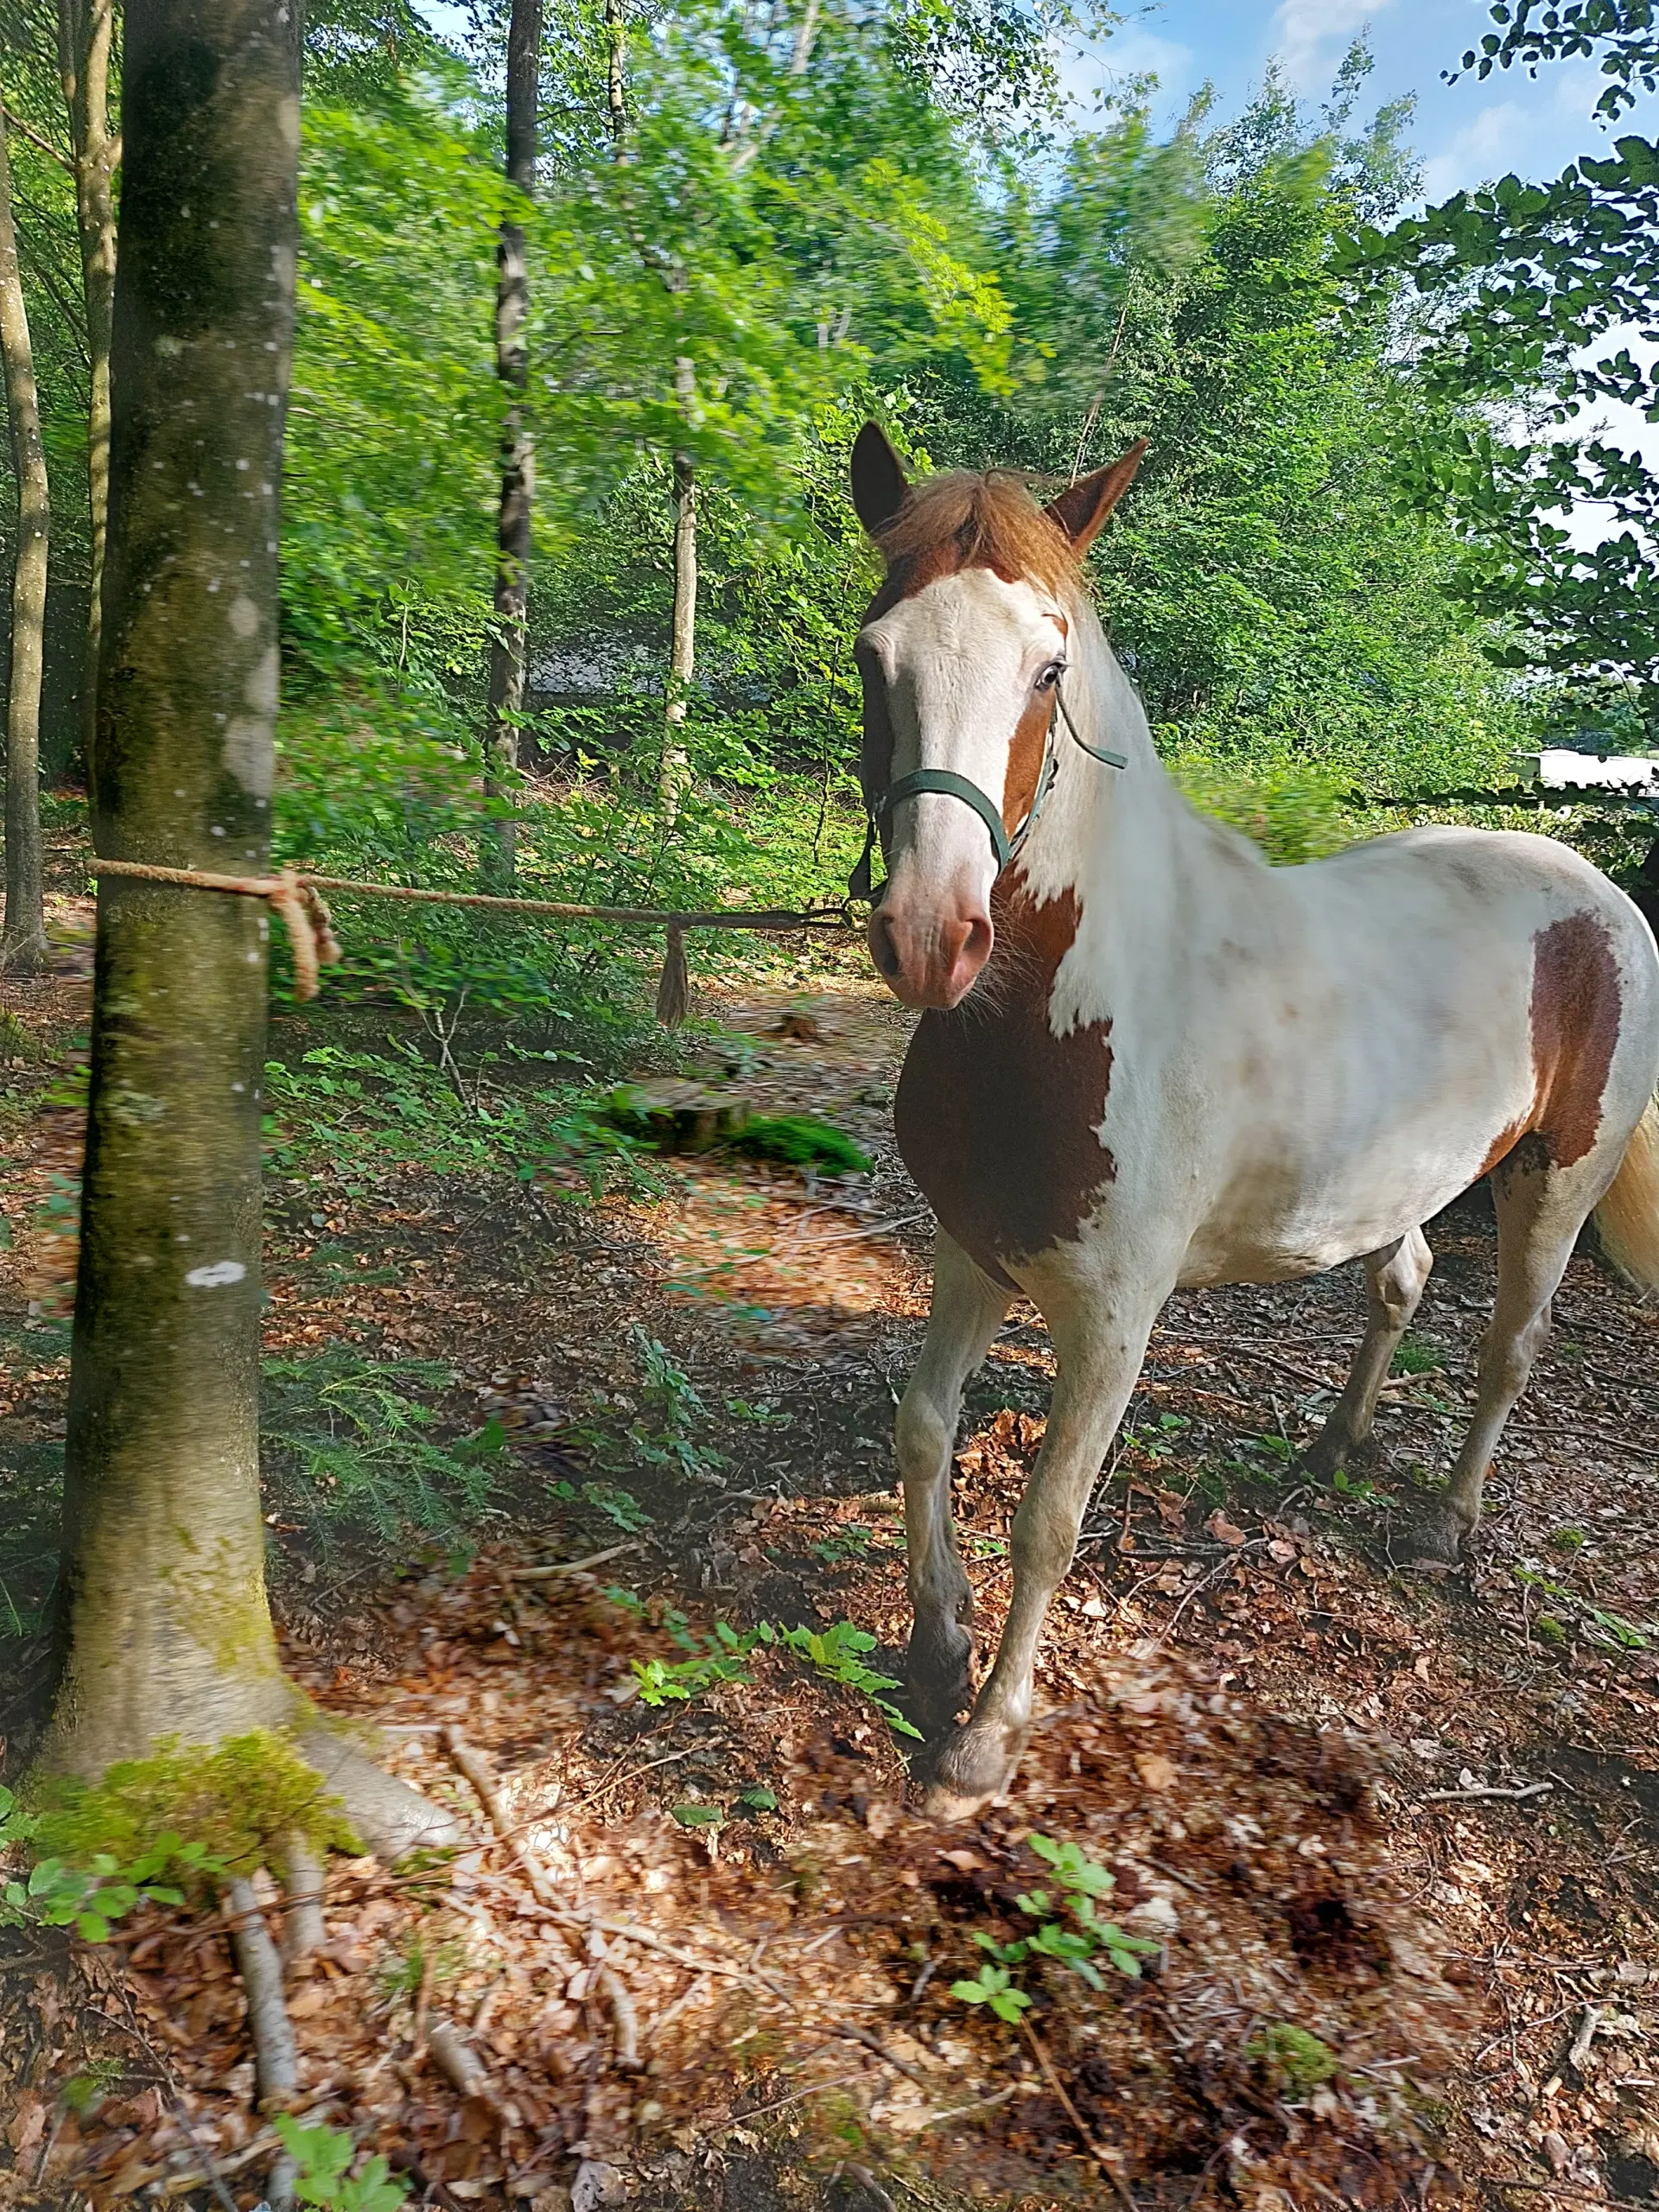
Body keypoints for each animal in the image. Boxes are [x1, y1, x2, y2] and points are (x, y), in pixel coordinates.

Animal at [849, 422, 1659, 1822]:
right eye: (871, 653)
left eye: (1048, 667)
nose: (929, 936)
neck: (1074, 1006)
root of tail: (1596, 891)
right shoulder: (972, 1250)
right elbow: (923, 1431)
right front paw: (934, 1643)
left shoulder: (1114, 1314)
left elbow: (1050, 1517)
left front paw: (987, 1737)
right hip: (1408, 1176)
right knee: (1403, 1279)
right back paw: (1333, 1446)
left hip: (1555, 1181)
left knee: (1512, 1347)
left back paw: (1445, 1523)